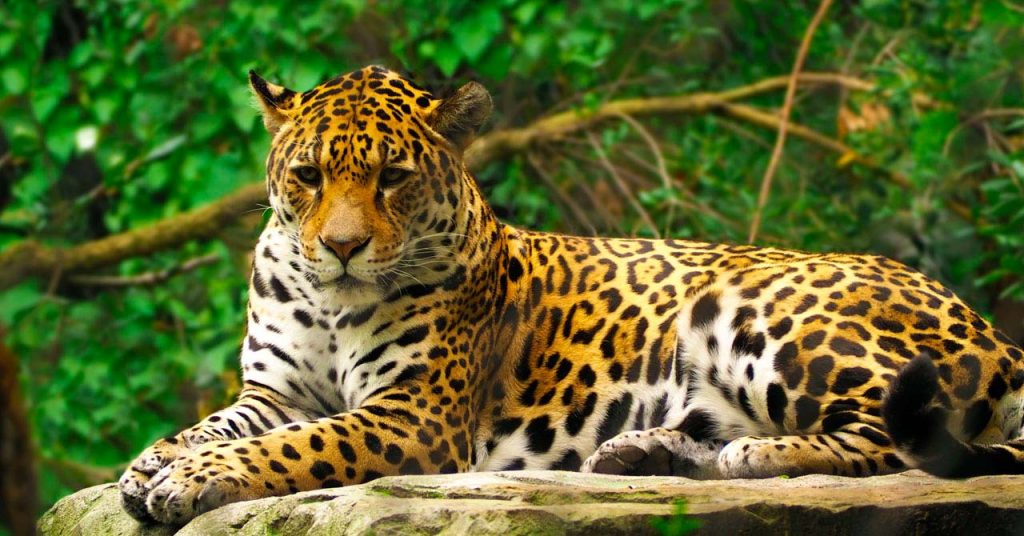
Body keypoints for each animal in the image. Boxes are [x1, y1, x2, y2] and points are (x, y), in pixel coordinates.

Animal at [119, 65, 1024, 524]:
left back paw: (756, 457)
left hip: (758, 310)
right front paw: (154, 460)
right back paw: (645, 454)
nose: (341, 248)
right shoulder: (274, 391)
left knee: (901, 440)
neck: (331, 301)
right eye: (307, 176)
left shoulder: (414, 414)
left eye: (393, 178)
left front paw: (192, 478)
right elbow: (220, 424)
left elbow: (296, 448)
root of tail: (994, 332)